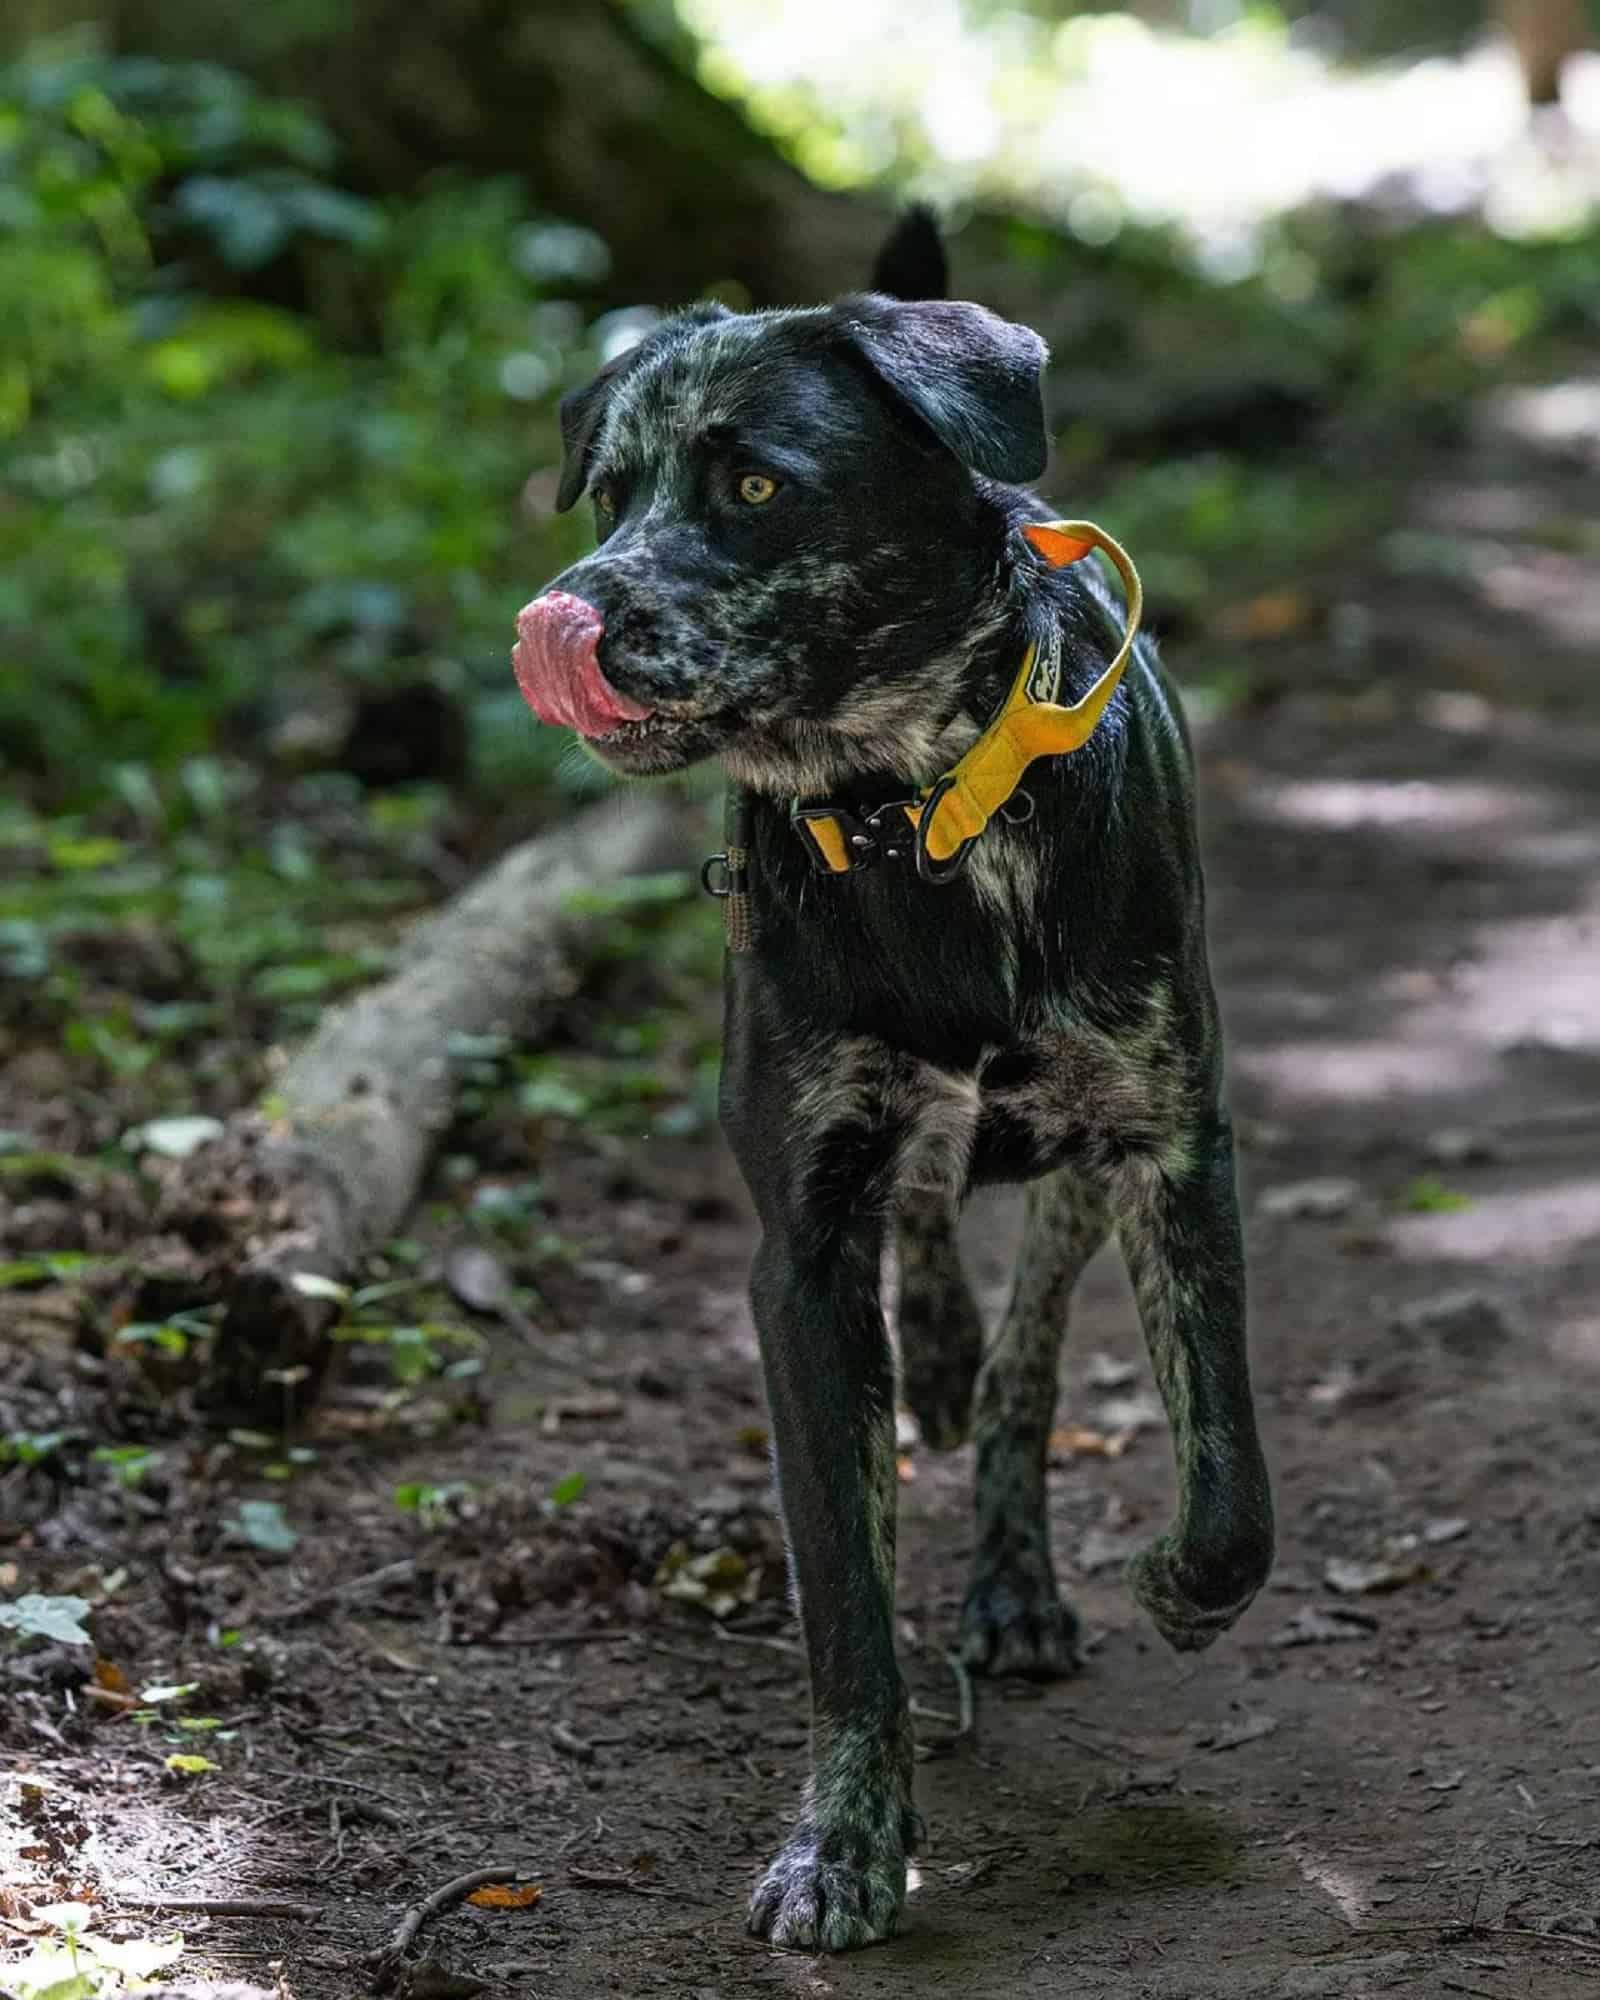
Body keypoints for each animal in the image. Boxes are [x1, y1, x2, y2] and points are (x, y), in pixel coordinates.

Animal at [512, 219, 1272, 1952]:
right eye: (611, 493)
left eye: (755, 485)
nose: (557, 615)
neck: (914, 811)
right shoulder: (799, 1246)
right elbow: (844, 1607)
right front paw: (843, 1846)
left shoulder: (1171, 1146)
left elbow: (1227, 1474)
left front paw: (1180, 1584)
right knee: (936, 1254)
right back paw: (927, 1350)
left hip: (1075, 1166)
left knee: (1025, 1369)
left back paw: (1013, 1572)